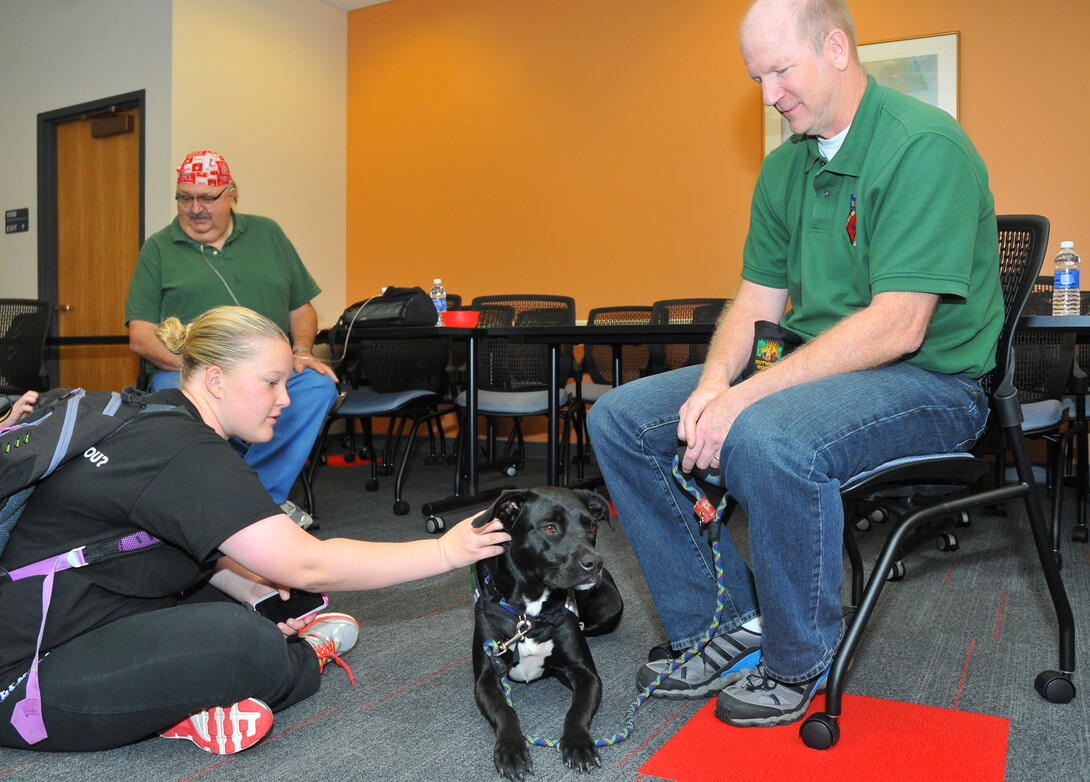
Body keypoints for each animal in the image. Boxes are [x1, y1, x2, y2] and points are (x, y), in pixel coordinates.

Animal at [475, 484, 627, 776]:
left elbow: (577, 710)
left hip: (611, 609)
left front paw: (579, 743)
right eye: (549, 528)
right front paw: (511, 748)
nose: (595, 563)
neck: (529, 614)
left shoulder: (586, 674)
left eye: (592, 526)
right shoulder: (486, 677)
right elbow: (504, 710)